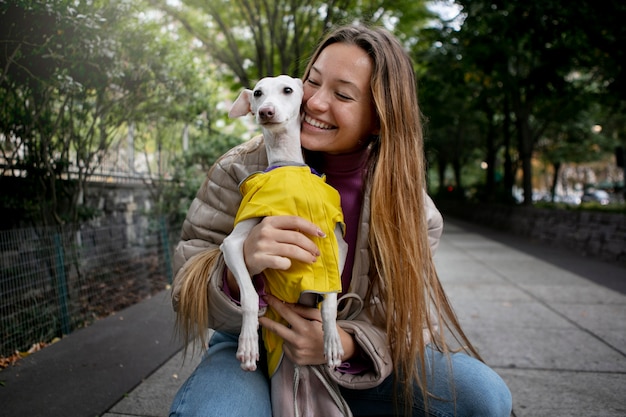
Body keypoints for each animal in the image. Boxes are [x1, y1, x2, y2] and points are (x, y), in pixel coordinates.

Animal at [222, 75, 352, 416]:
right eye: (257, 93)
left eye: (288, 90)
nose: (265, 112)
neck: (288, 165)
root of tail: (300, 375)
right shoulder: (234, 243)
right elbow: (250, 296)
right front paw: (247, 344)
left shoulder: (337, 243)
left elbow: (330, 298)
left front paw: (331, 341)